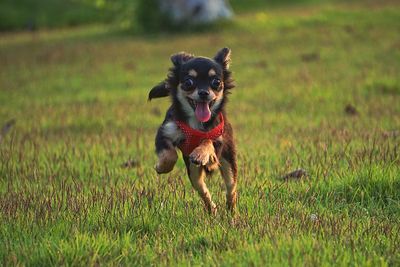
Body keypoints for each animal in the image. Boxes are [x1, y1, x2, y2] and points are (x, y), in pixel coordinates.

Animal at [150, 48, 238, 216]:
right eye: (188, 82)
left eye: (216, 82)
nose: (203, 92)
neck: (196, 123)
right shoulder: (165, 133)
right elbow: (169, 154)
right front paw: (162, 167)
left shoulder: (218, 144)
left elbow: (208, 140)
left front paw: (200, 153)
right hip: (193, 173)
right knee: (203, 190)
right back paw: (212, 209)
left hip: (228, 161)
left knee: (231, 188)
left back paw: (231, 211)